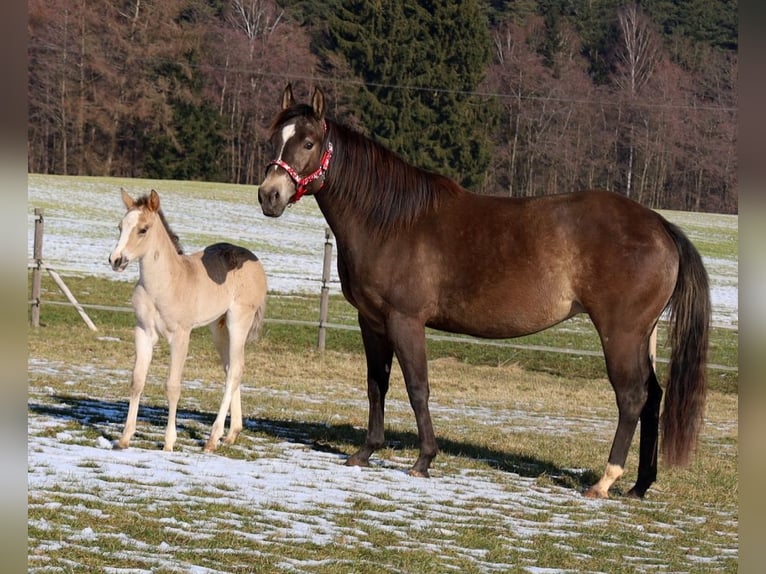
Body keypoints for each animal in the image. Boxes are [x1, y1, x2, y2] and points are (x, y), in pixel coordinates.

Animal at [109, 189, 267, 453]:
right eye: (120, 227)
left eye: (143, 229)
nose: (116, 260)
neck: (164, 283)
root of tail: (254, 261)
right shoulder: (143, 331)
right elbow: (137, 380)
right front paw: (124, 438)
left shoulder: (181, 336)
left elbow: (172, 386)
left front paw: (168, 442)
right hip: (218, 327)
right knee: (231, 368)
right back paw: (232, 433)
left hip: (238, 321)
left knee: (235, 370)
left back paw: (213, 439)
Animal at [258, 84, 710, 499]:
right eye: (275, 138)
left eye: (309, 142)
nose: (269, 195)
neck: (391, 221)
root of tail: (660, 225)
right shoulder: (371, 321)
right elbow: (376, 385)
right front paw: (366, 452)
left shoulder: (405, 321)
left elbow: (417, 387)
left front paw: (423, 460)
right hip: (642, 336)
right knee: (653, 396)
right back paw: (639, 485)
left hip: (621, 334)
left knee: (632, 397)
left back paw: (605, 481)